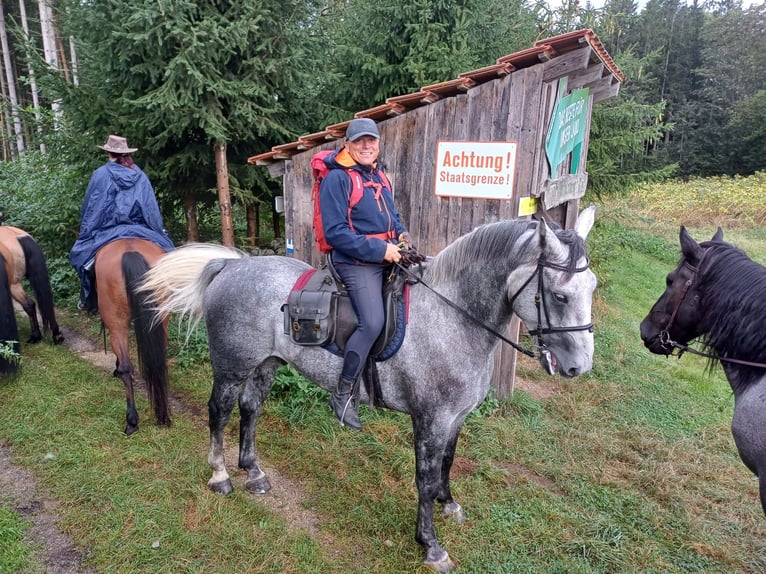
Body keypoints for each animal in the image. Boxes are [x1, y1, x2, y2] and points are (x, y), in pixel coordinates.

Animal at [94, 240, 172, 436]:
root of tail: (130, 251)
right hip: (161, 319)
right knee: (158, 363)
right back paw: (163, 416)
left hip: (116, 323)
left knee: (126, 368)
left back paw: (132, 421)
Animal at [142, 208, 600, 574]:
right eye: (559, 294)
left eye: (592, 288)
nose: (578, 366)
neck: (452, 317)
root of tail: (231, 266)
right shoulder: (430, 420)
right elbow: (425, 478)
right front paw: (430, 545)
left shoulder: (456, 417)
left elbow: (448, 463)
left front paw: (449, 505)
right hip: (232, 366)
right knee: (219, 411)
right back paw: (220, 475)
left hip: (265, 365)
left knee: (250, 409)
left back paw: (253, 471)